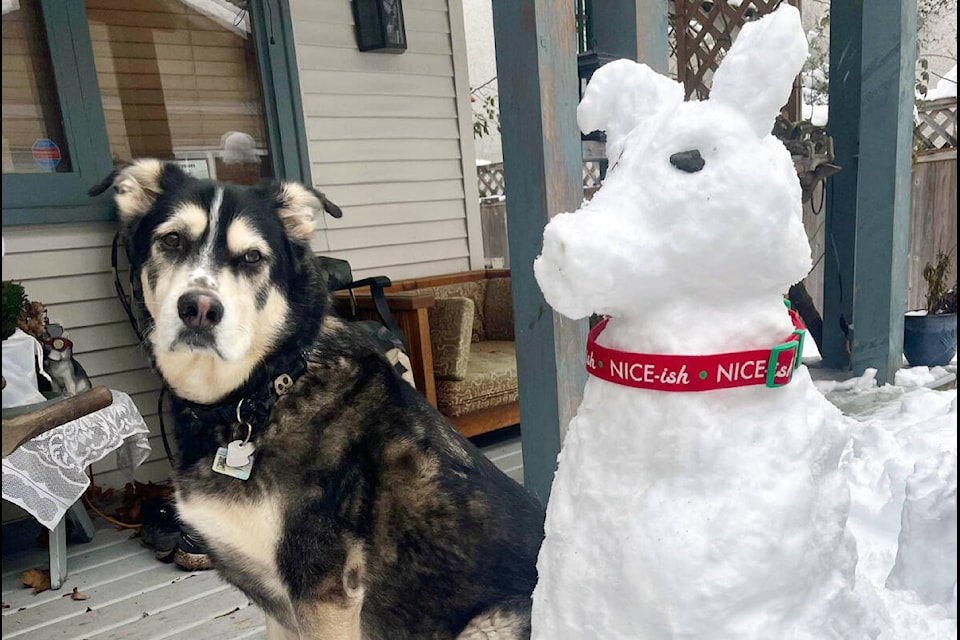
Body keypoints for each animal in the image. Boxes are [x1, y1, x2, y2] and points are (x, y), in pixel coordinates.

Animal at [93, 159, 544, 636]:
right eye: (172, 240)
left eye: (252, 257)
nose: (198, 308)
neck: (262, 395)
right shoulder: (278, 608)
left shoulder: (323, 595)